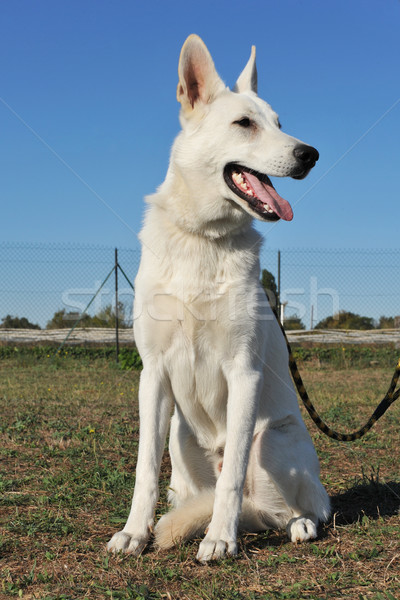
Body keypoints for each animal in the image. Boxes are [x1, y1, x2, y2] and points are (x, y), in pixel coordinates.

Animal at [108, 36, 330, 564]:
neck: (203, 239)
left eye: (280, 122)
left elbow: (231, 481)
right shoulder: (153, 374)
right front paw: (133, 532)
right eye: (244, 123)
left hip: (272, 439)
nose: (310, 154)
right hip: (179, 438)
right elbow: (144, 471)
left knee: (286, 508)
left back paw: (298, 524)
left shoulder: (243, 371)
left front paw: (220, 538)